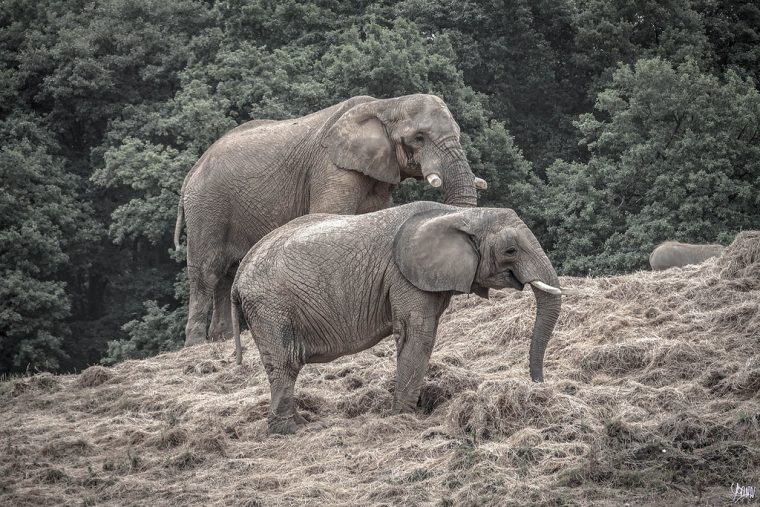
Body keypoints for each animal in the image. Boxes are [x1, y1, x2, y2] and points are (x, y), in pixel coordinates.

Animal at [174, 94, 486, 350]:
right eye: (419, 138)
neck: (385, 104)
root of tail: (191, 173)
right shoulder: (331, 167)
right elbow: (331, 213)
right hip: (207, 206)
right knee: (207, 272)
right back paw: (196, 344)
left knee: (226, 273)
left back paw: (221, 340)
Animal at [232, 200, 564, 434]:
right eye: (510, 251)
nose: (539, 386)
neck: (460, 214)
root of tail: (238, 278)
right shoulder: (404, 277)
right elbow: (418, 334)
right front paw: (403, 417)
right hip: (270, 306)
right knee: (286, 362)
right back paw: (290, 430)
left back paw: (301, 422)